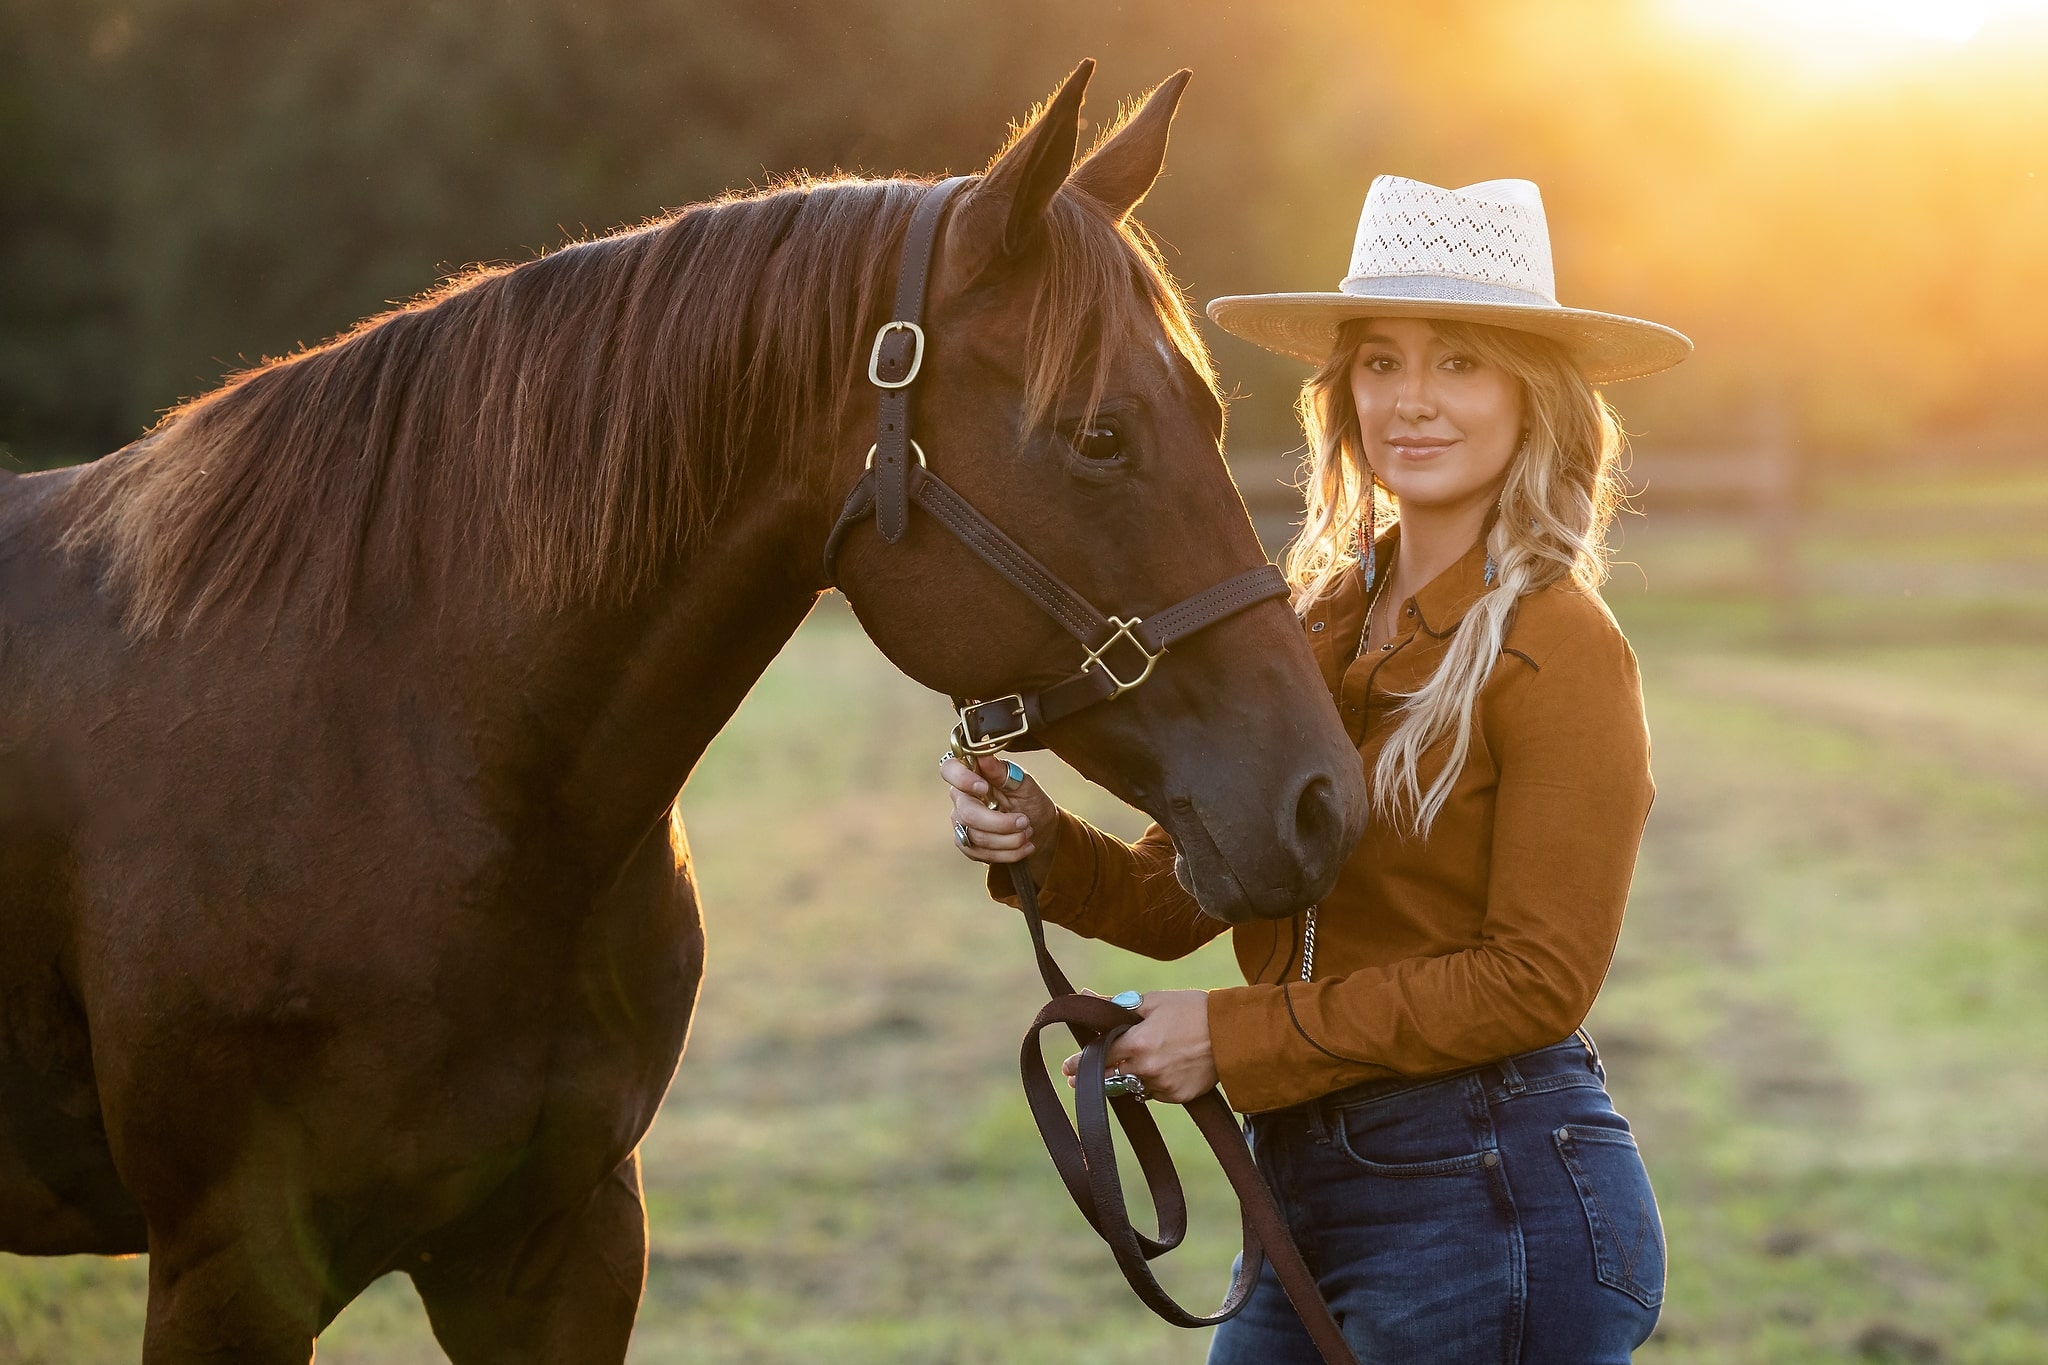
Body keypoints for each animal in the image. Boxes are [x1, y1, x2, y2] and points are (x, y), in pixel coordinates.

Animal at [4, 66, 1376, 1365]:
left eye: (1210, 417)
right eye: (1097, 435)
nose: (1323, 802)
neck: (393, 754)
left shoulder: (558, 1250)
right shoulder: (233, 1270)